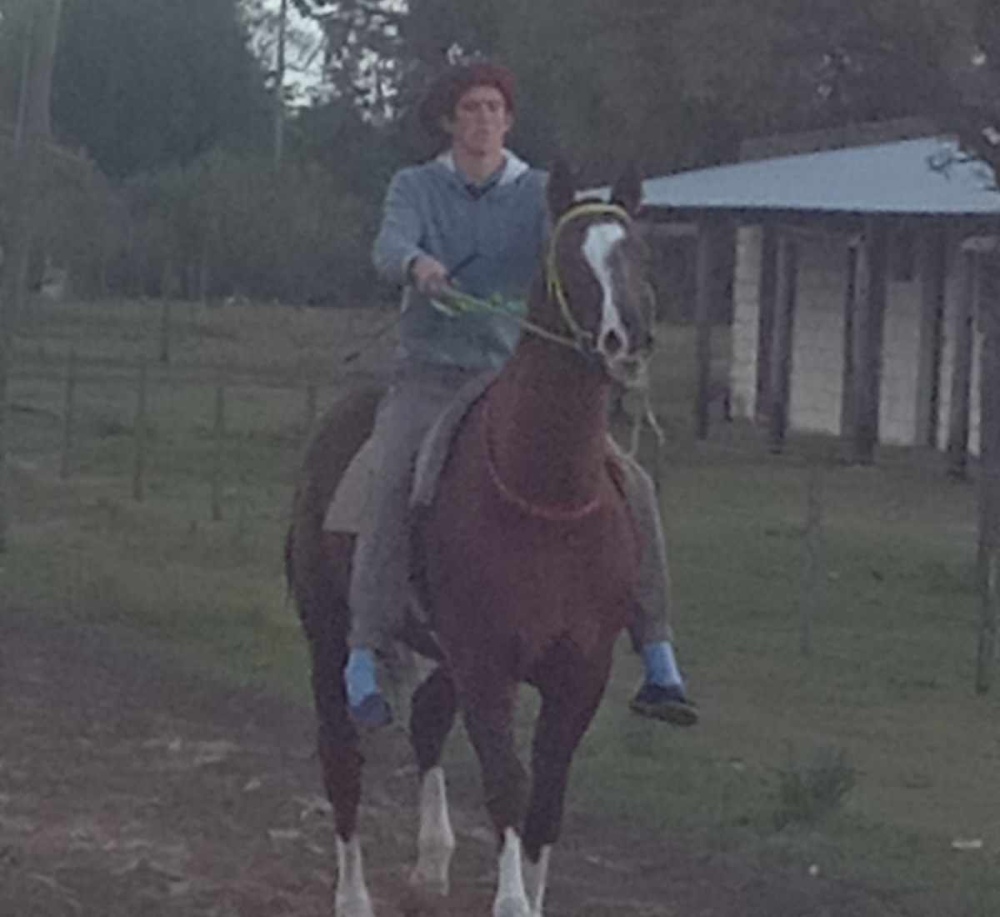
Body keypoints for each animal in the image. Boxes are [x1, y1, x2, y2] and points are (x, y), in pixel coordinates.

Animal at [286, 161, 652, 912]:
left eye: (636, 251)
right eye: (569, 258)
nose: (624, 338)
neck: (545, 495)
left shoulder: (580, 671)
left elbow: (547, 798)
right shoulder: (488, 664)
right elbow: (508, 783)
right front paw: (512, 901)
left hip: (439, 652)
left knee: (427, 722)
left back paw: (431, 865)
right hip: (328, 632)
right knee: (342, 753)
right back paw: (353, 896)